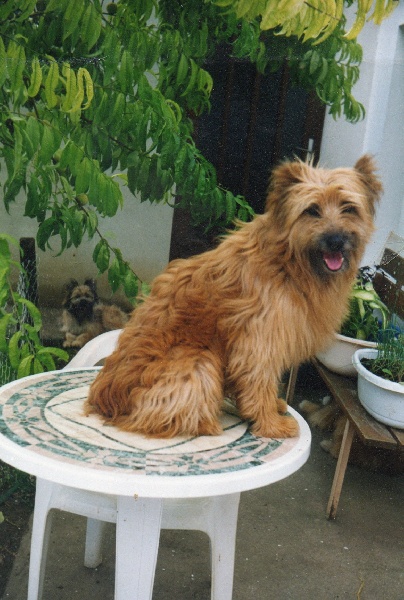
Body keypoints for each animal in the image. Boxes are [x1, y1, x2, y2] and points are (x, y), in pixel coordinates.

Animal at [85, 157, 382, 438]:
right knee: (151, 417)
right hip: (197, 360)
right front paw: (271, 423)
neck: (288, 262)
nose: (335, 241)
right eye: (312, 210)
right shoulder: (259, 338)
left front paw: (271, 407)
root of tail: (105, 398)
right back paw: (204, 423)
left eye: (348, 207)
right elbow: (259, 379)